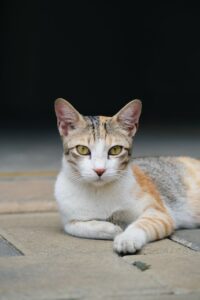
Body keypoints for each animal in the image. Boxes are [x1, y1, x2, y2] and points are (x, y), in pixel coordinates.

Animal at [54, 99, 200, 254]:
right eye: (82, 149)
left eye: (115, 150)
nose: (99, 170)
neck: (98, 191)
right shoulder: (69, 218)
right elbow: (75, 227)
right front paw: (111, 229)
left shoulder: (159, 213)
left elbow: (142, 223)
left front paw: (127, 238)